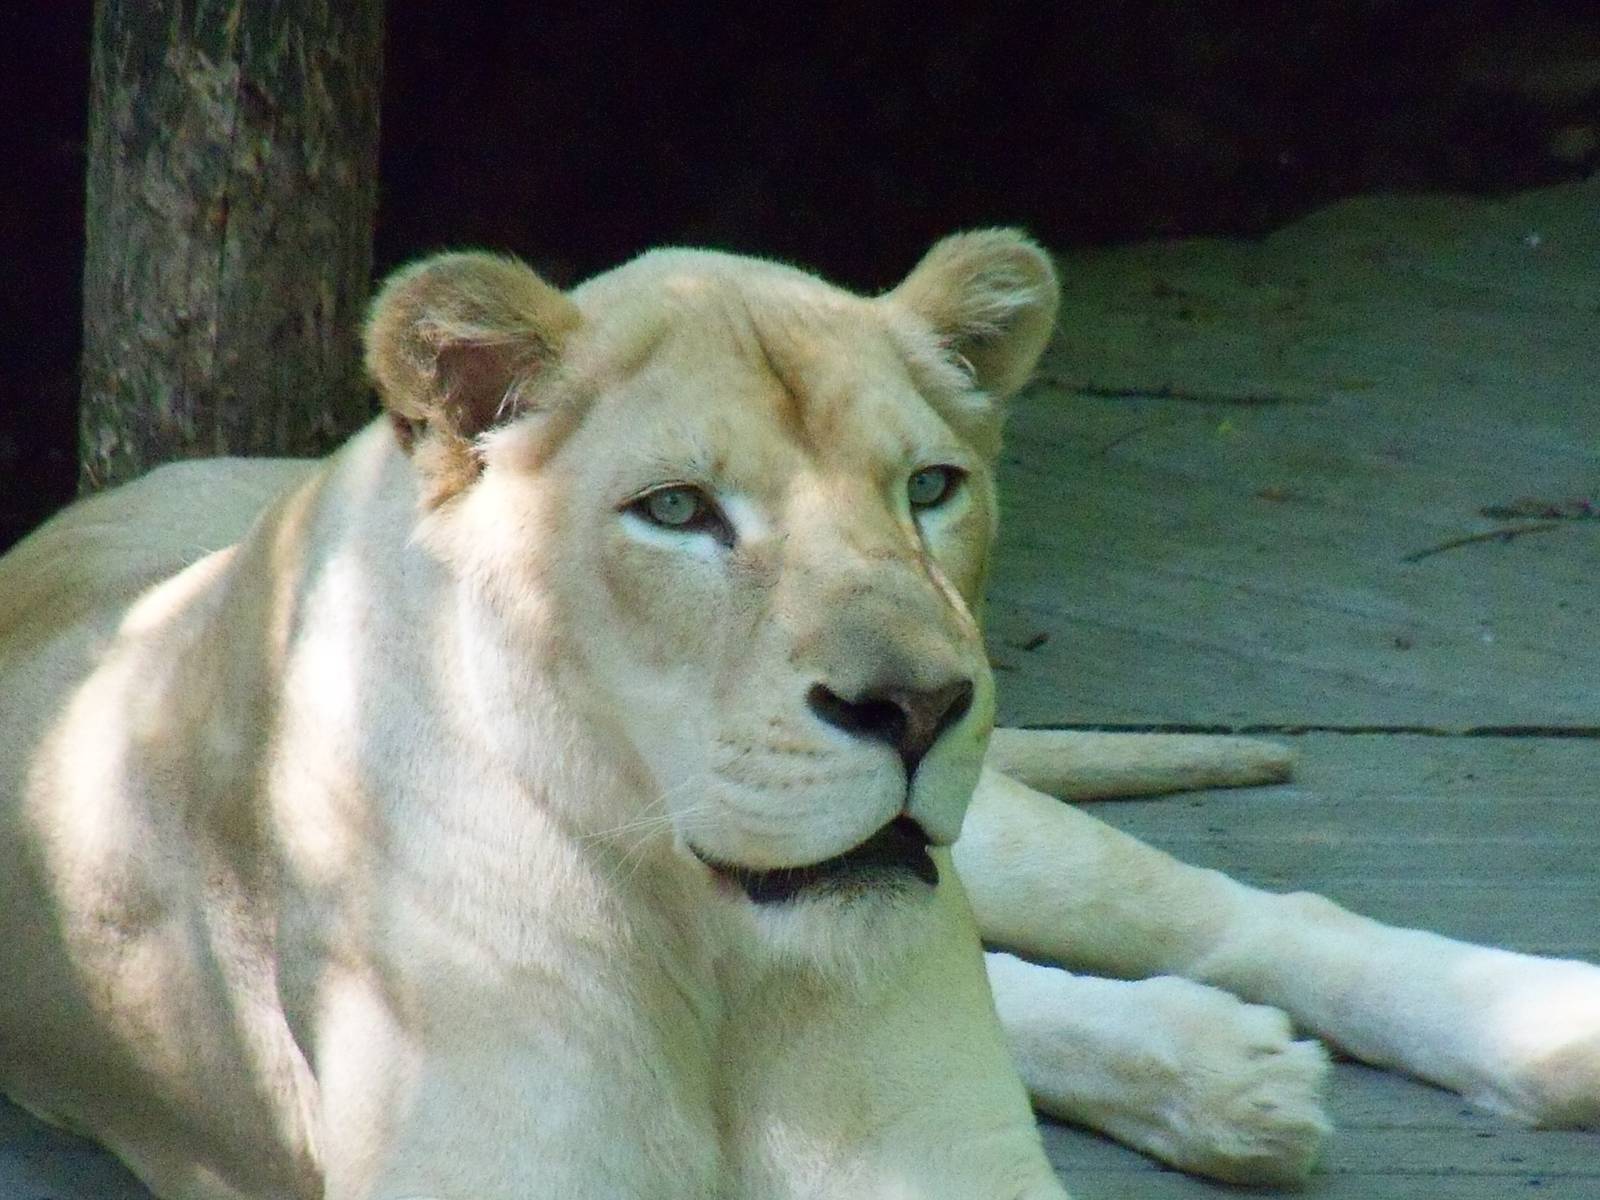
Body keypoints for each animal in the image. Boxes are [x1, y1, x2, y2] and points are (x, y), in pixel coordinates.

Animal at [1, 231, 1596, 1200]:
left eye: (931, 487)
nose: (919, 704)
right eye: (676, 513)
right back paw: (1227, 1075)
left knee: (1244, 918)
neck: (723, 963)